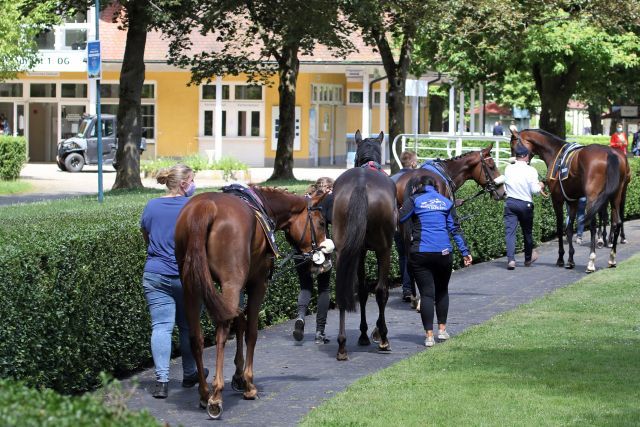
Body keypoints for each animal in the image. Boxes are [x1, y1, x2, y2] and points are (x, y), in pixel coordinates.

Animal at [175, 187, 336, 418]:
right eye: (322, 223)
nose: (326, 260)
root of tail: (206, 207)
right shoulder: (257, 284)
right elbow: (251, 331)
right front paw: (249, 383)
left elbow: (240, 321)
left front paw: (238, 376)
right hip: (230, 283)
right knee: (221, 332)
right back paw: (216, 396)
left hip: (191, 286)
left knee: (196, 338)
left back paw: (205, 394)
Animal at [332, 130, 398, 362]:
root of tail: (361, 185)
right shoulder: (381, 249)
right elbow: (377, 290)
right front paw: (377, 332)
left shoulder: (358, 252)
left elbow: (361, 290)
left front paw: (363, 334)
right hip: (384, 248)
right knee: (381, 291)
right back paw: (384, 338)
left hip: (344, 249)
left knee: (344, 289)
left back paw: (342, 345)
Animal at [510, 128, 632, 274]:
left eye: (512, 145)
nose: (513, 162)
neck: (555, 152)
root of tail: (610, 153)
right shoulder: (573, 201)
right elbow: (568, 228)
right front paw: (570, 259)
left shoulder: (557, 199)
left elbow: (560, 227)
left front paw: (561, 259)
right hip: (616, 195)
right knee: (616, 221)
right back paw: (612, 258)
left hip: (594, 197)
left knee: (593, 224)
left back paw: (591, 261)